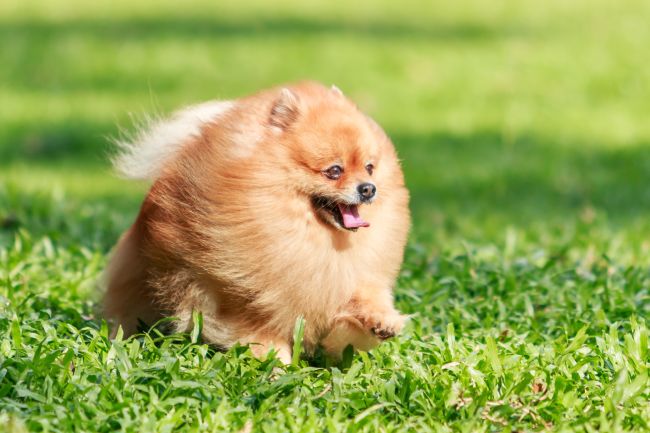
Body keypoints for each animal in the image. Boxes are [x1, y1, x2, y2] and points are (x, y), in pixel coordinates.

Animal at [105, 81, 410, 362]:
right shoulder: (244, 297)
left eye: (369, 167)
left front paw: (381, 319)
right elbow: (260, 335)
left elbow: (361, 299)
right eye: (334, 171)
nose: (368, 188)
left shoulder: (338, 277)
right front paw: (279, 370)